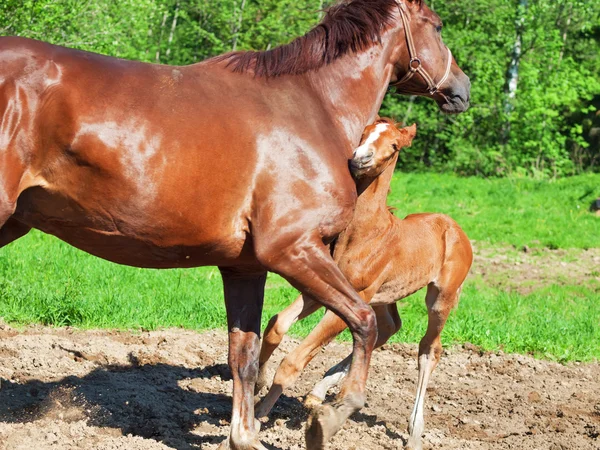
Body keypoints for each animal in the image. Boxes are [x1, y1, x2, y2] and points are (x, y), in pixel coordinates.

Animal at [256, 119, 474, 450]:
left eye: (394, 145)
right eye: (366, 131)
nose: (361, 158)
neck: (365, 233)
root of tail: (455, 228)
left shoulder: (354, 293)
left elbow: (295, 360)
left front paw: (256, 418)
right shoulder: (322, 288)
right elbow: (277, 326)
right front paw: (258, 382)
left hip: (441, 298)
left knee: (428, 350)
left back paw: (414, 432)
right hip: (383, 298)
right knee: (386, 328)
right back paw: (321, 390)